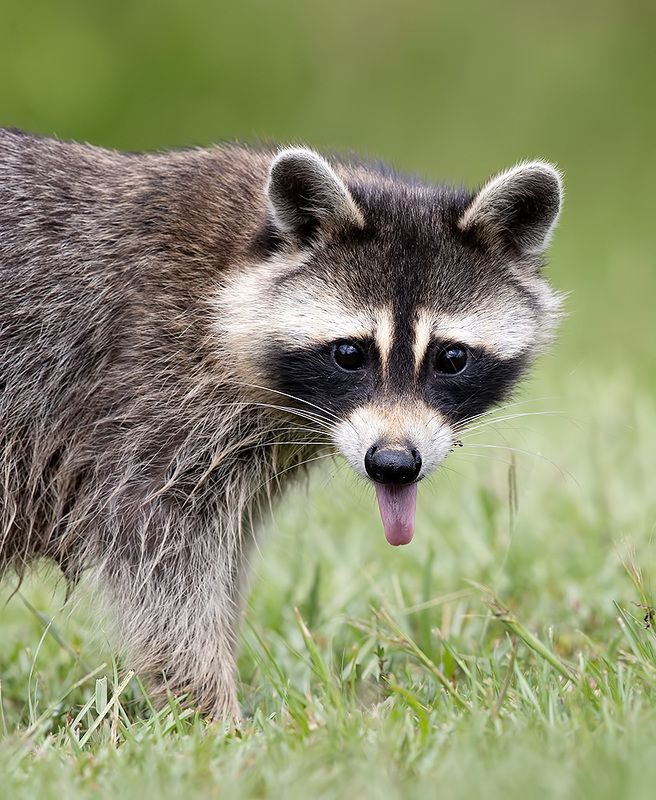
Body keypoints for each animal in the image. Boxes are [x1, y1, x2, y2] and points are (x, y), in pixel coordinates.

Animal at [0, 128, 563, 718]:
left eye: (452, 358)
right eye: (348, 353)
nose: (393, 464)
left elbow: (225, 560)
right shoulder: (150, 388)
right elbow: (157, 554)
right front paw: (208, 705)